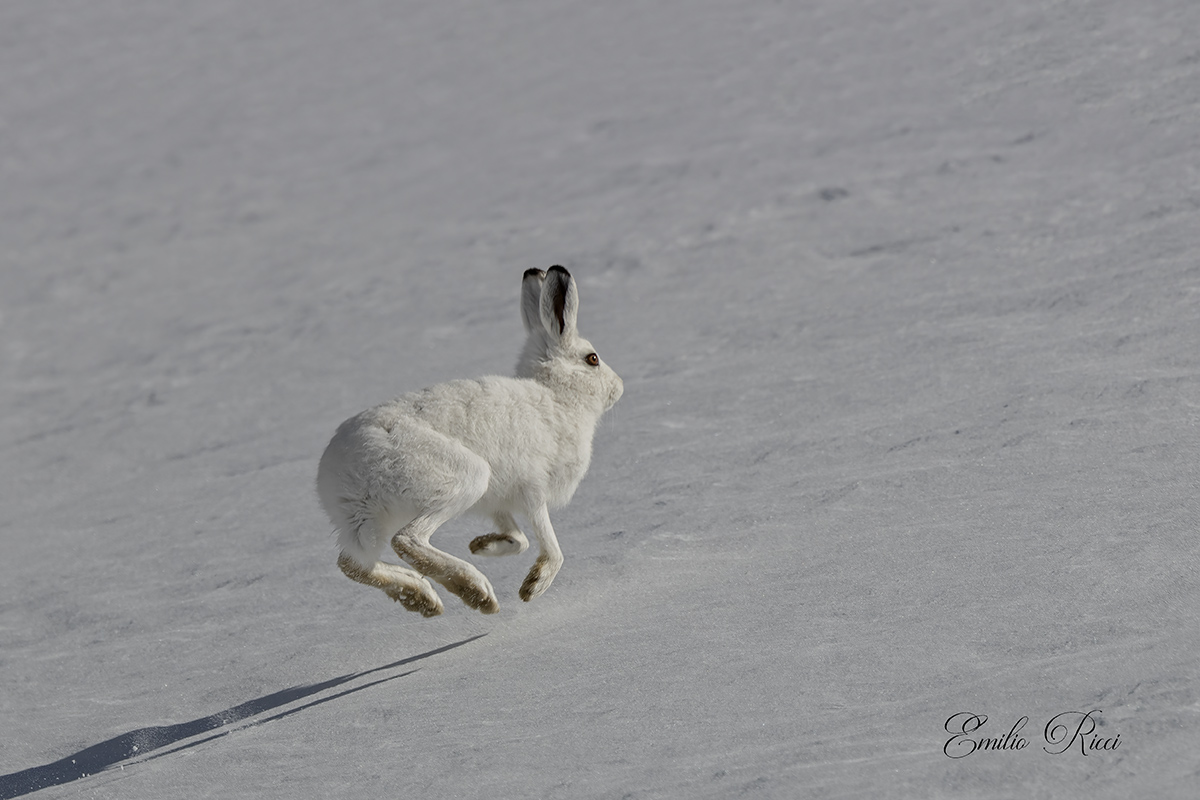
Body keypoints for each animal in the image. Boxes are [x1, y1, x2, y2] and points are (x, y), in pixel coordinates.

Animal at [317, 266, 623, 616]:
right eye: (592, 359)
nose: (619, 387)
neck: (556, 396)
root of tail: (343, 470)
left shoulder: (499, 501)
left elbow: (518, 538)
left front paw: (483, 545)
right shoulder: (532, 488)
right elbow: (549, 543)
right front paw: (533, 586)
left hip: (367, 520)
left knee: (352, 563)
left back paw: (422, 597)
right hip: (462, 477)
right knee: (406, 541)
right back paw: (476, 592)